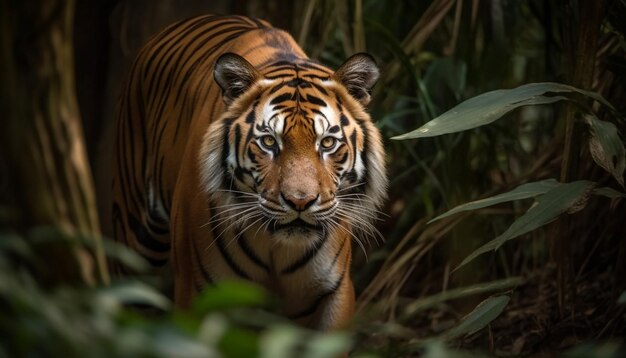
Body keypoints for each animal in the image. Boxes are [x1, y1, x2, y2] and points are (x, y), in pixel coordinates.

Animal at [112, 14, 386, 330]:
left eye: (327, 143)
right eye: (268, 142)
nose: (300, 202)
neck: (276, 247)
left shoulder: (335, 292)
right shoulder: (197, 291)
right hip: (135, 239)